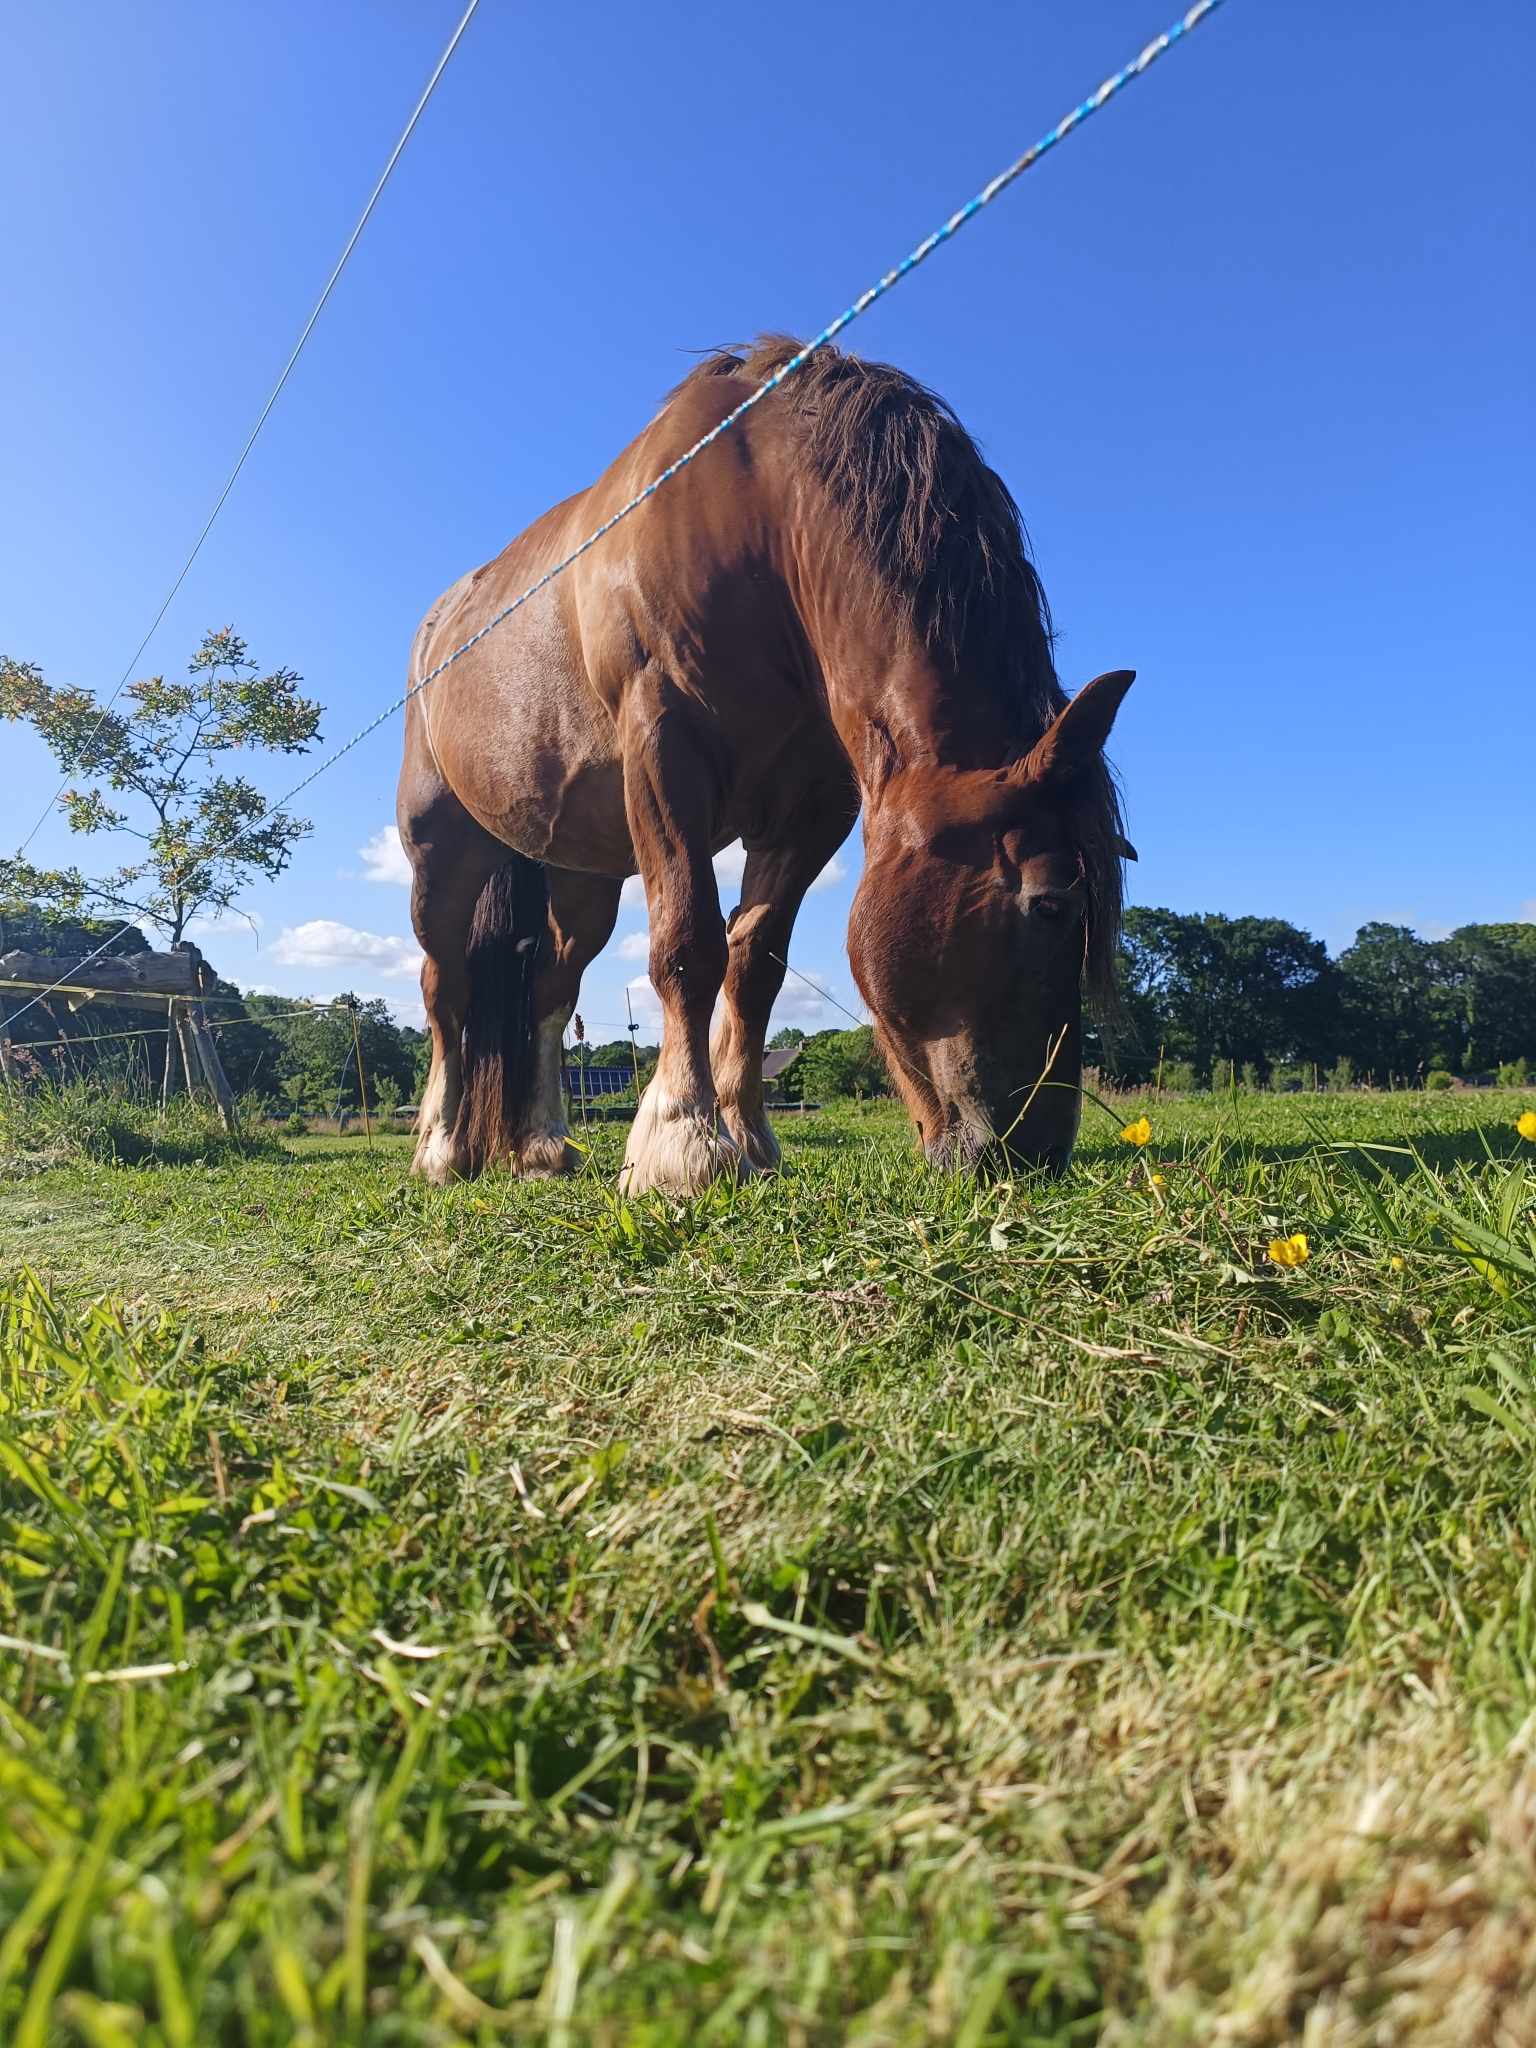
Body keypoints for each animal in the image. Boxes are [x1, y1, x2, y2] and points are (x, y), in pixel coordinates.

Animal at [403, 337, 1138, 1196]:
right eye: (1049, 905)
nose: (1038, 1150)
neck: (764, 525)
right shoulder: (665, 751)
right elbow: (689, 943)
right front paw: (684, 1142)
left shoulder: (814, 808)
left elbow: (754, 962)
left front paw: (750, 1139)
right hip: (441, 849)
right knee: (445, 988)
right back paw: (441, 1147)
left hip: (583, 874)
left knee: (551, 988)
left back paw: (542, 1145)